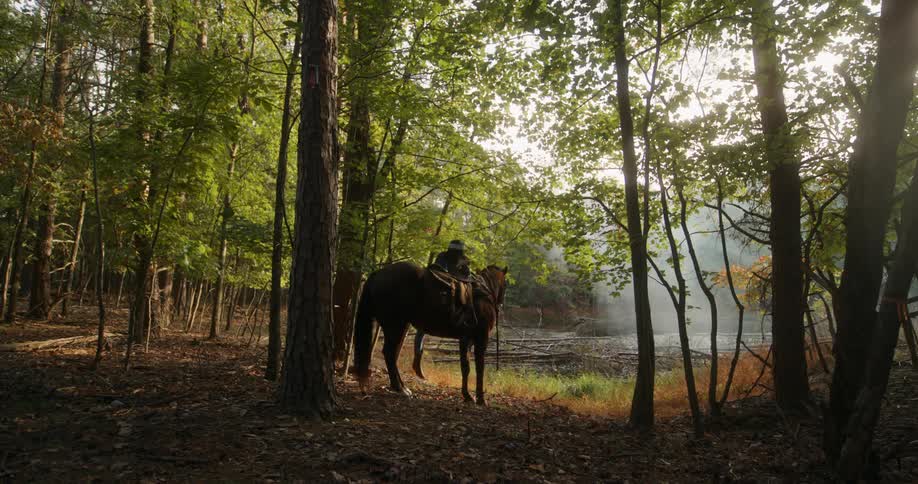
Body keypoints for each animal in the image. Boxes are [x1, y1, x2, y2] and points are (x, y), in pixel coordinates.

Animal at [353, 262, 508, 404]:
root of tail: (378, 274)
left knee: (392, 354)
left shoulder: (465, 340)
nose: (500, 304)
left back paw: (400, 387)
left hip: (400, 326)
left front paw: (467, 396)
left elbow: (465, 367)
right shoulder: (481, 338)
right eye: (505, 285)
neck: (484, 296)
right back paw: (400, 388)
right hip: (395, 326)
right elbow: (480, 368)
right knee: (390, 353)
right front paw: (480, 399)